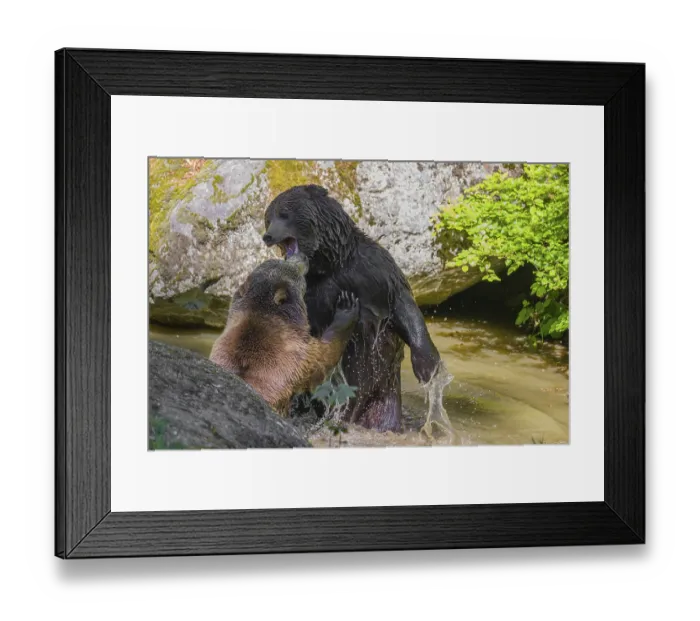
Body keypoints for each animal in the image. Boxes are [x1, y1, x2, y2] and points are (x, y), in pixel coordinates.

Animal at [209, 255, 360, 415]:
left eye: (276, 260)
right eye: (295, 269)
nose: (301, 257)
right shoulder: (296, 359)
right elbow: (324, 356)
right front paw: (346, 305)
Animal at [262, 184, 442, 432]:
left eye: (284, 213)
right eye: (268, 218)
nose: (267, 236)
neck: (329, 265)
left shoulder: (373, 271)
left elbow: (403, 305)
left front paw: (427, 367)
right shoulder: (308, 294)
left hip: (384, 392)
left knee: (383, 414)